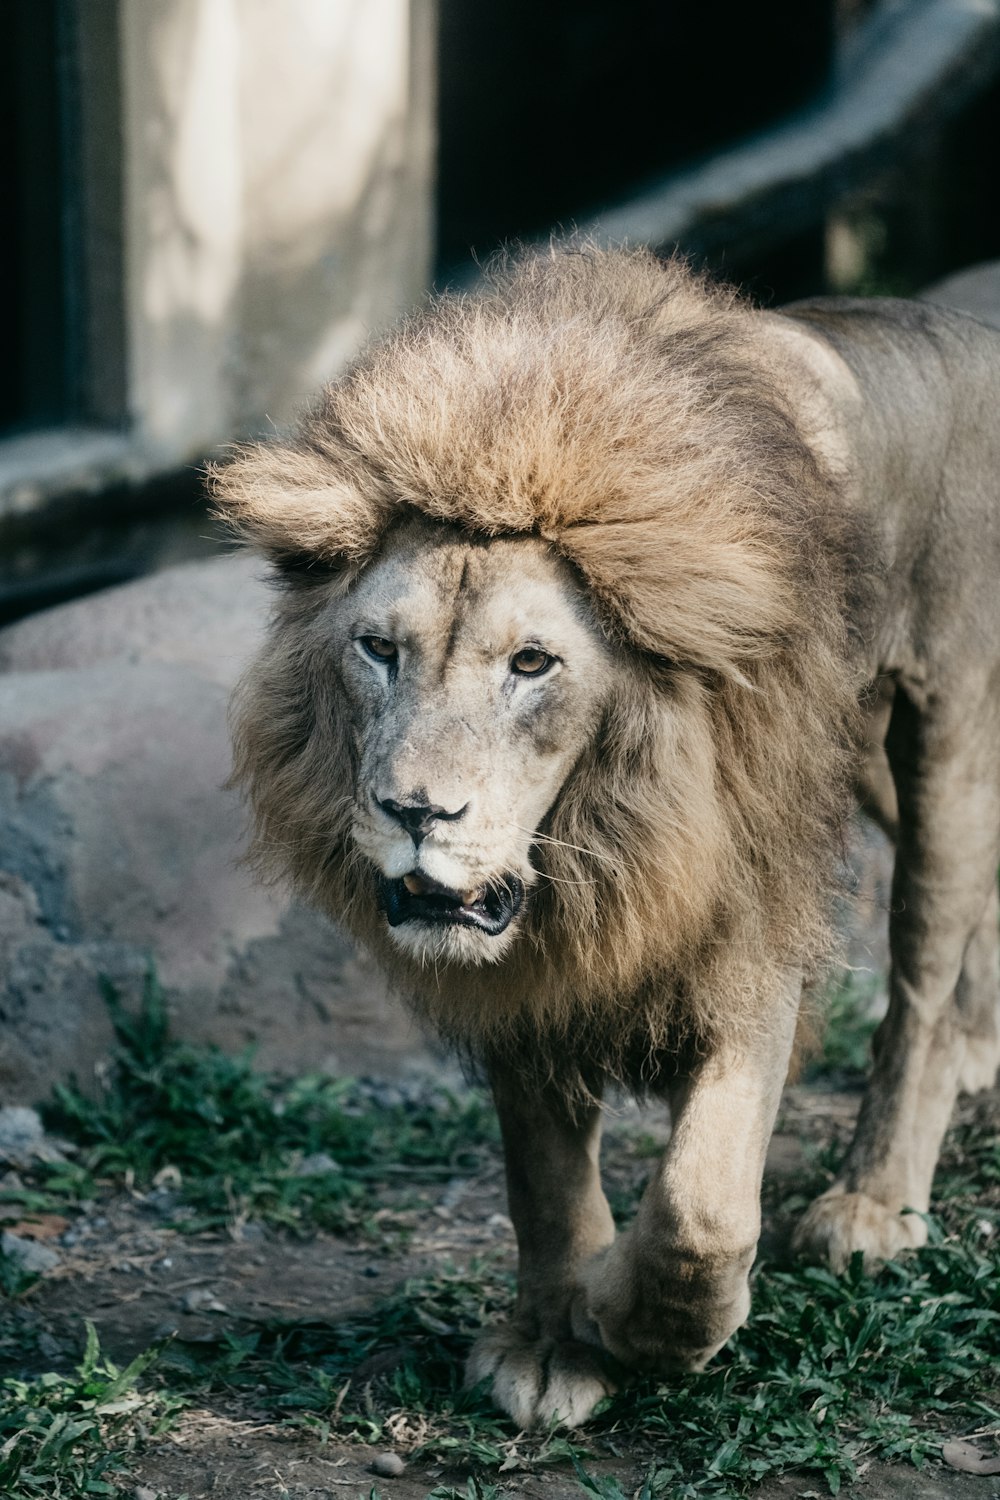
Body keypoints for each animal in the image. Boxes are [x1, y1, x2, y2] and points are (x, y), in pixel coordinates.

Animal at [212, 252, 1000, 1434]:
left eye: (532, 664)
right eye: (377, 649)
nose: (415, 813)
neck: (606, 833)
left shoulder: (751, 930)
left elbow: (699, 1213)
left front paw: (630, 1322)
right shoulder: (528, 971)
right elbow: (542, 1178)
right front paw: (550, 1339)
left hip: (949, 738)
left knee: (920, 990)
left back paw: (871, 1204)